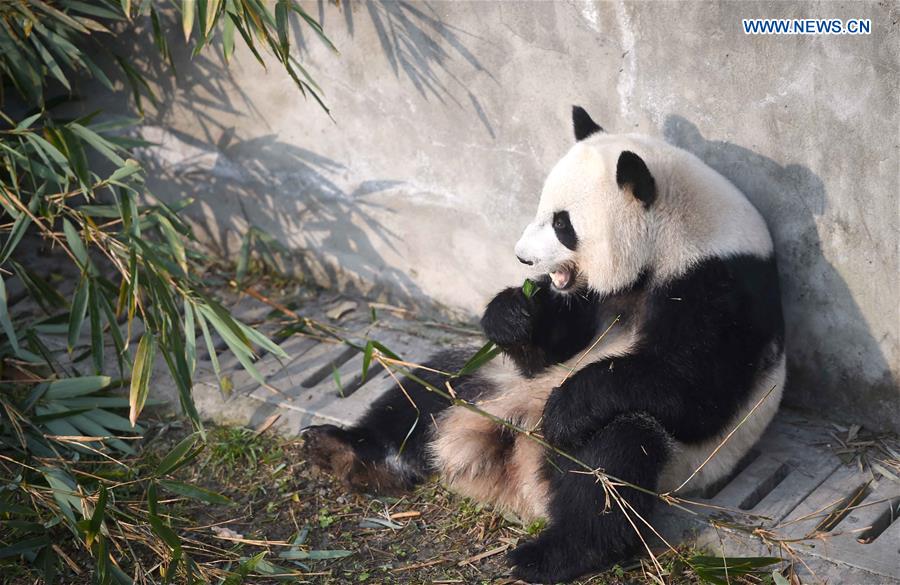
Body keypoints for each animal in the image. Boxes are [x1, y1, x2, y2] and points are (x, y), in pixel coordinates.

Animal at [303, 106, 786, 583]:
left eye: (562, 224)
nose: (523, 258)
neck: (678, 234)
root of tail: (512, 471)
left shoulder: (722, 286)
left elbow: (695, 391)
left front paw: (566, 409)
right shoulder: (591, 299)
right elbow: (553, 343)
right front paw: (513, 312)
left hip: (673, 464)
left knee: (614, 459)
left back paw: (552, 553)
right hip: (490, 379)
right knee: (428, 389)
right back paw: (341, 450)